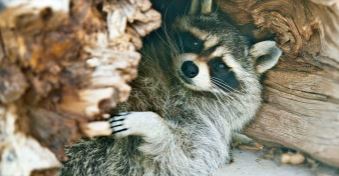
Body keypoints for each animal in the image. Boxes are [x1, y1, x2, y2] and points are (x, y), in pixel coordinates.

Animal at [60, 1, 282, 175]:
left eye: (220, 65)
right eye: (195, 42)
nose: (190, 68)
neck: (177, 82)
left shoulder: (209, 121)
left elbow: (187, 156)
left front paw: (151, 123)